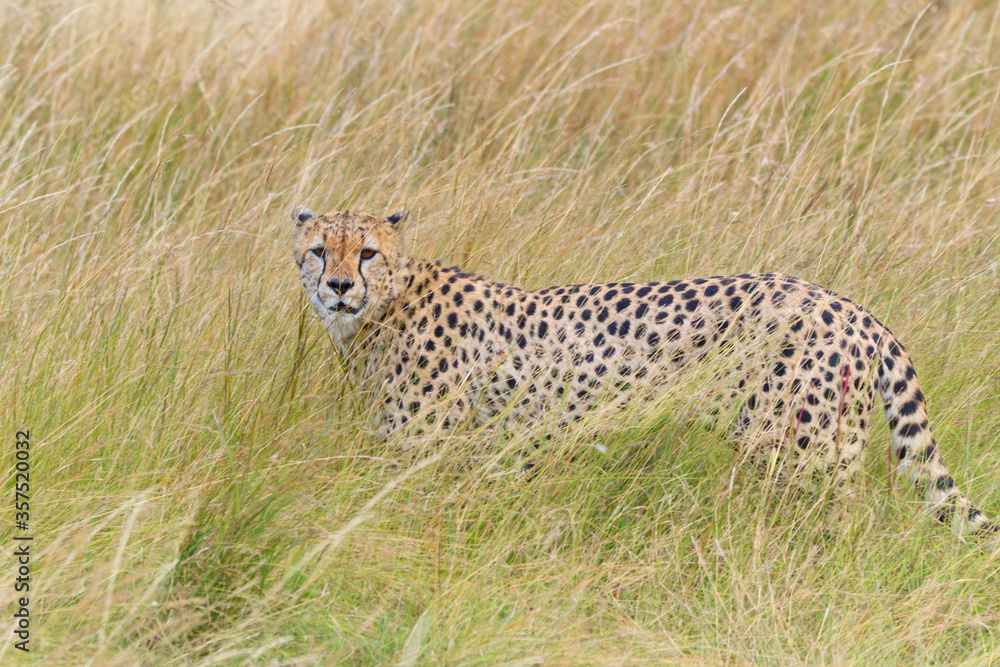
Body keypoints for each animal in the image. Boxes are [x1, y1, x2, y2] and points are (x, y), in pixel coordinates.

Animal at [291, 205, 997, 540]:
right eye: (320, 250)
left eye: (367, 253)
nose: (339, 286)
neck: (385, 307)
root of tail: (847, 302)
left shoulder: (420, 453)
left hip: (799, 448)